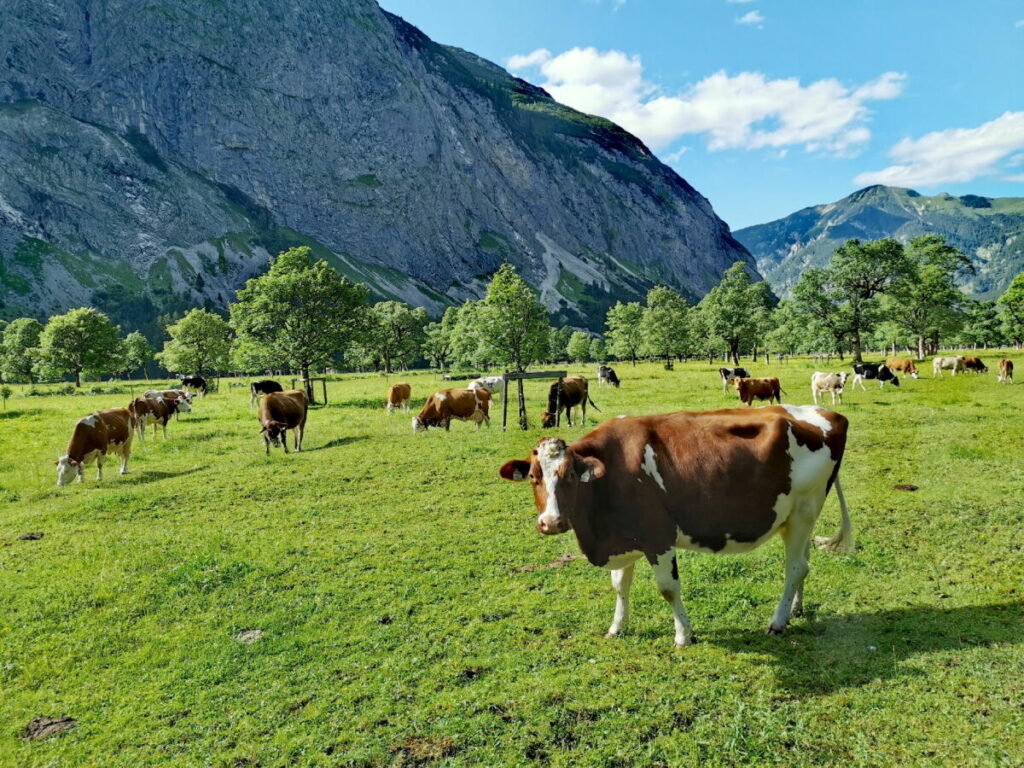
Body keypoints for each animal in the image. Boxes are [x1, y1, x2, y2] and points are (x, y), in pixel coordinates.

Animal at [499, 405, 851, 647]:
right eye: (533, 477)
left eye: (570, 474)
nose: (551, 522)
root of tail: (826, 413)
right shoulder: (623, 535)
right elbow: (620, 585)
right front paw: (617, 627)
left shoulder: (658, 536)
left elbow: (668, 588)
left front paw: (683, 635)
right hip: (795, 518)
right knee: (803, 561)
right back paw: (795, 609)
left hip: (805, 508)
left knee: (795, 567)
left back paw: (777, 621)